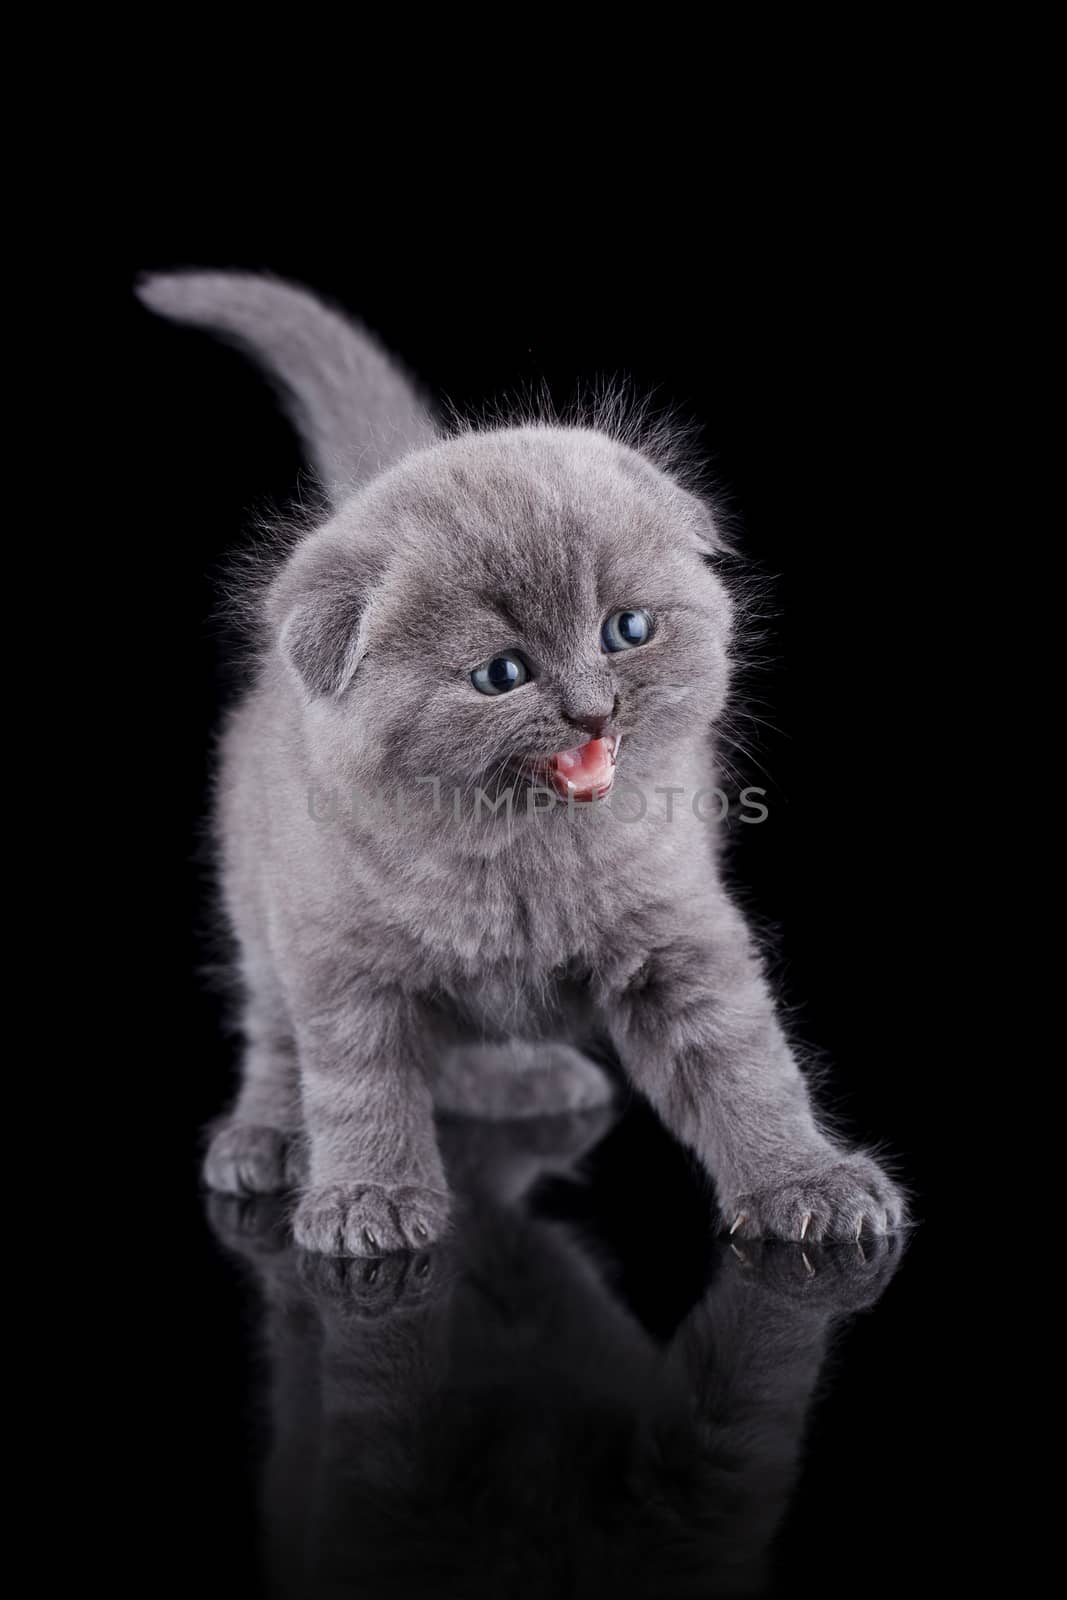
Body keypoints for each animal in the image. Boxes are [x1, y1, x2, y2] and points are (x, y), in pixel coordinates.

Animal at [137, 272, 908, 1248]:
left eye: (627, 629)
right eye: (500, 674)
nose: (592, 708)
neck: (520, 858)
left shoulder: (677, 930)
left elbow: (742, 1065)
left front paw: (805, 1180)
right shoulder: (341, 958)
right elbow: (357, 1084)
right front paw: (368, 1196)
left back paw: (525, 1081)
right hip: (259, 912)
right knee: (278, 1037)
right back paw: (266, 1140)